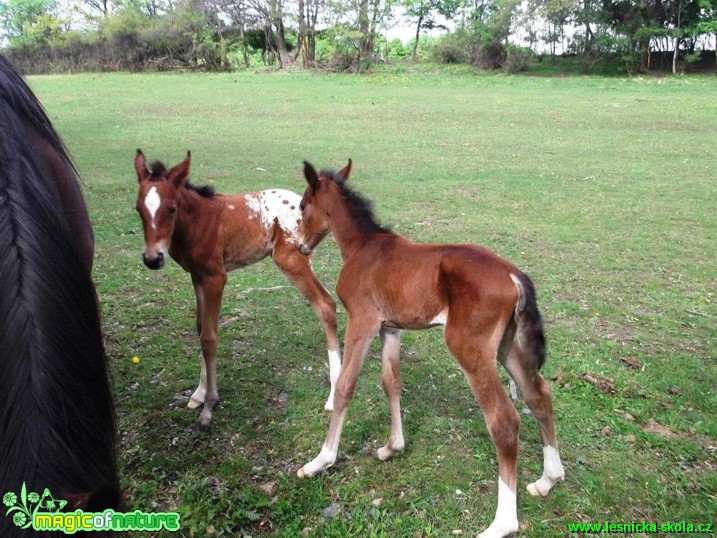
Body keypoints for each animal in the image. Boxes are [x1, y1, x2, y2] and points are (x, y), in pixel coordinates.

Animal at [134, 150, 342, 428]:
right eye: (138, 209)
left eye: (171, 208)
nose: (152, 259)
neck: (197, 222)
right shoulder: (197, 277)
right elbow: (201, 327)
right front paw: (199, 394)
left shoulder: (216, 277)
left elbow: (209, 337)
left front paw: (209, 407)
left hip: (292, 261)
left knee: (325, 305)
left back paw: (333, 396)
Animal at [294, 161, 564, 536]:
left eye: (303, 205)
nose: (300, 245)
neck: (364, 247)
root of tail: (513, 274)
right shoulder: (390, 328)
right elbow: (390, 382)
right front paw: (392, 447)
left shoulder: (362, 321)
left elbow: (347, 385)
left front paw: (320, 460)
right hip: (505, 345)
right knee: (538, 394)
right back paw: (547, 480)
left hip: (469, 347)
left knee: (505, 421)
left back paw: (502, 523)